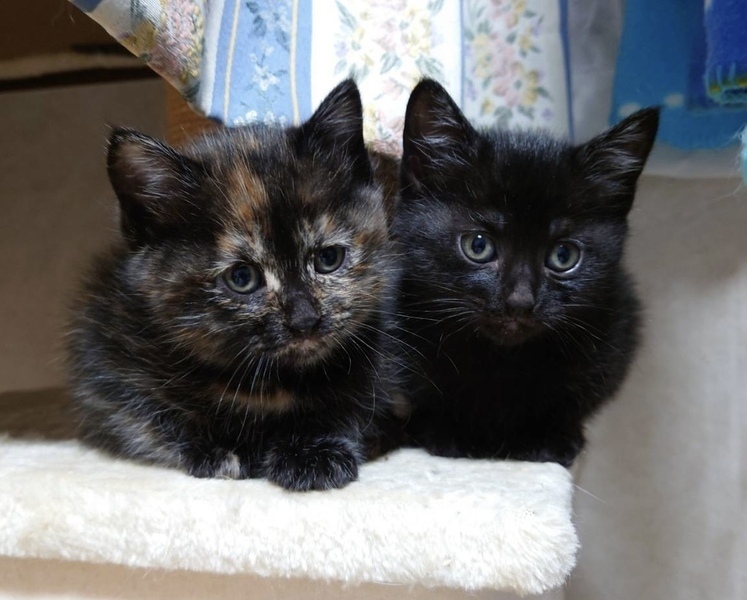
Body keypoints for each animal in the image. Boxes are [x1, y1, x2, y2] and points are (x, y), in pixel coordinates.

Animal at [66, 79, 403, 491]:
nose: (305, 320)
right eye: (242, 278)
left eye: (328, 259)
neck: (270, 385)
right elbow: (150, 418)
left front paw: (312, 451)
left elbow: (354, 407)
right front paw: (223, 451)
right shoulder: (107, 372)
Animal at [393, 79, 659, 467]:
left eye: (563, 255)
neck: (501, 362)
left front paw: (548, 438)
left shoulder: (617, 334)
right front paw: (450, 433)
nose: (519, 301)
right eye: (478, 246)